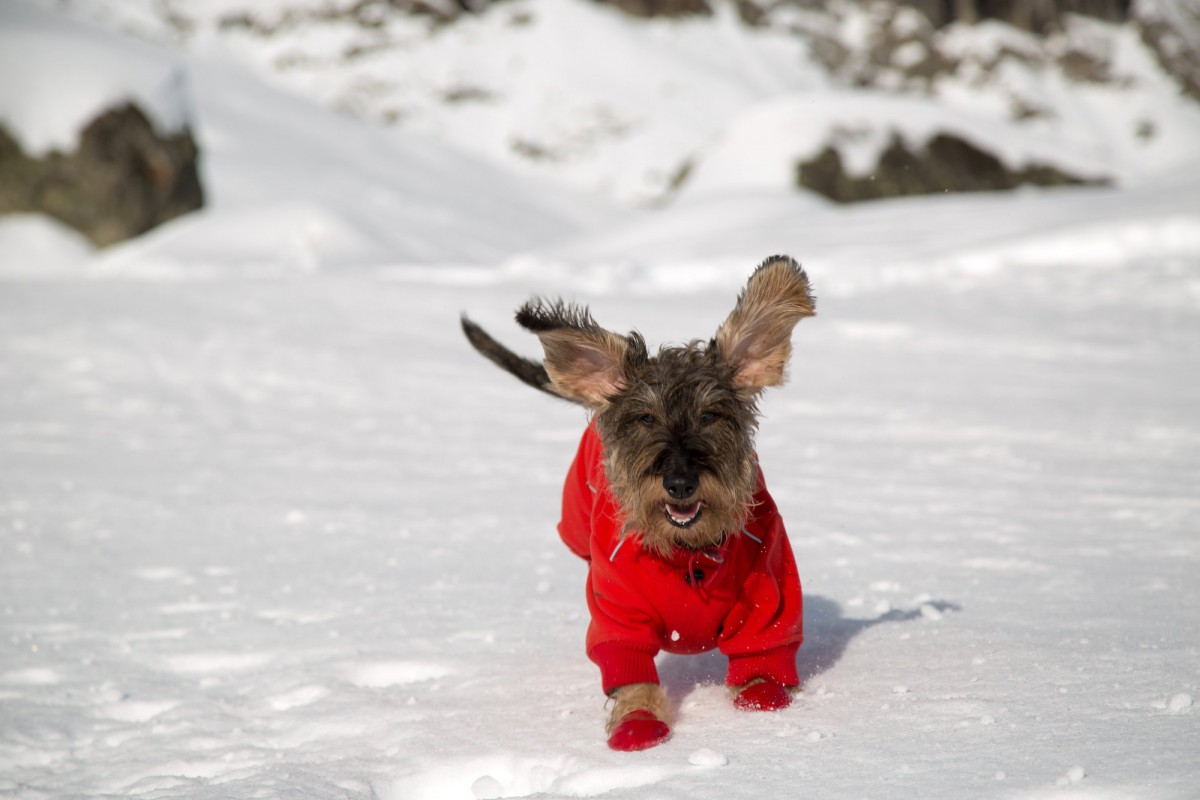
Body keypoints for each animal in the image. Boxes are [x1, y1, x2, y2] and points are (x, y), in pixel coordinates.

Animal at [460, 256, 816, 753]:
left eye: (710, 415)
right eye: (645, 418)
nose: (680, 482)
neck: (687, 554)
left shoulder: (769, 588)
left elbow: (764, 651)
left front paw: (762, 698)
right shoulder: (617, 609)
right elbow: (628, 669)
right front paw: (637, 722)